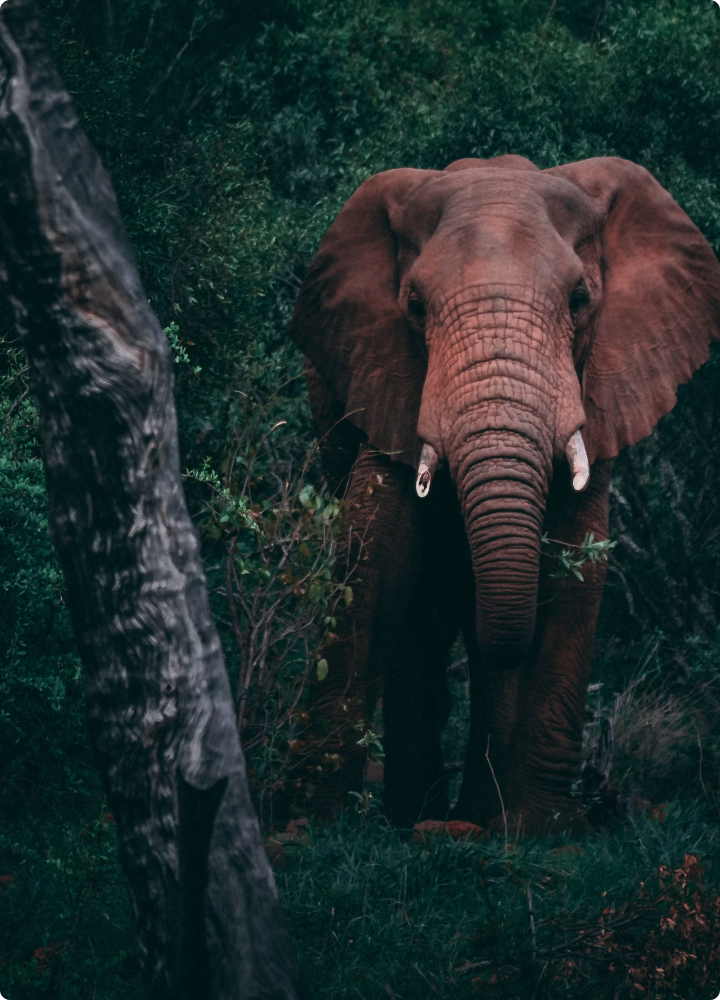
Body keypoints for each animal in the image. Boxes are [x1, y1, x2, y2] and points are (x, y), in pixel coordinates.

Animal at [288, 154, 720, 832]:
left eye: (580, 300)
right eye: (414, 305)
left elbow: (578, 564)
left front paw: (540, 829)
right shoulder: (384, 376)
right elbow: (374, 557)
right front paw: (312, 822)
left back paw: (470, 815)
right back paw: (422, 814)